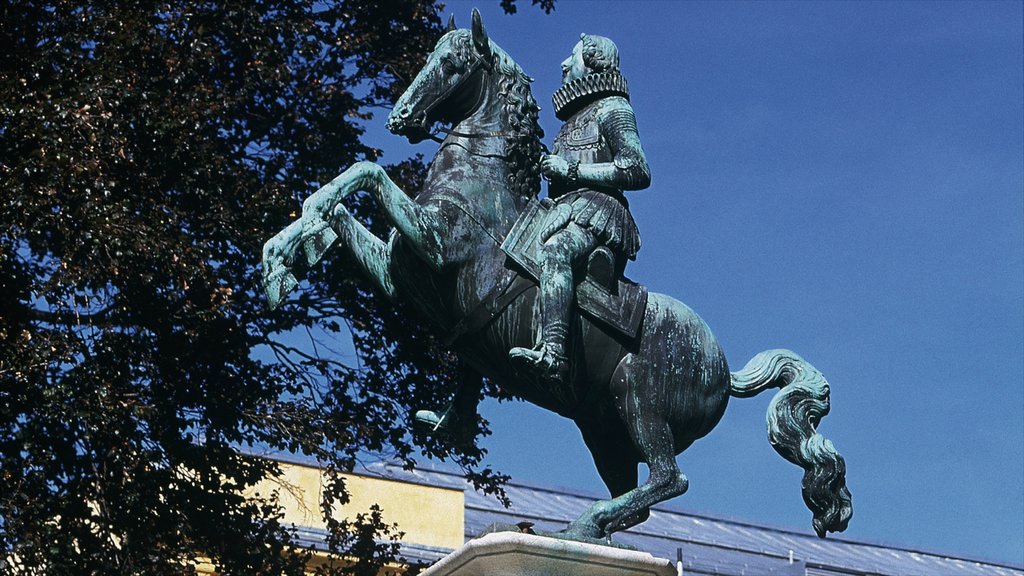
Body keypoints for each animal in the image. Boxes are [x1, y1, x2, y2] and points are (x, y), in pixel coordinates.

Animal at [260, 10, 851, 537]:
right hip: (601, 428)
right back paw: (580, 526)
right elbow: (341, 205)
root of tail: (724, 370)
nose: (400, 118)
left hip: (638, 404)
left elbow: (367, 172)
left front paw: (288, 250)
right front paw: (281, 260)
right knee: (637, 492)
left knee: (670, 478)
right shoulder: (395, 274)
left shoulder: (433, 244)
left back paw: (584, 518)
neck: (482, 184)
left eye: (450, 63)